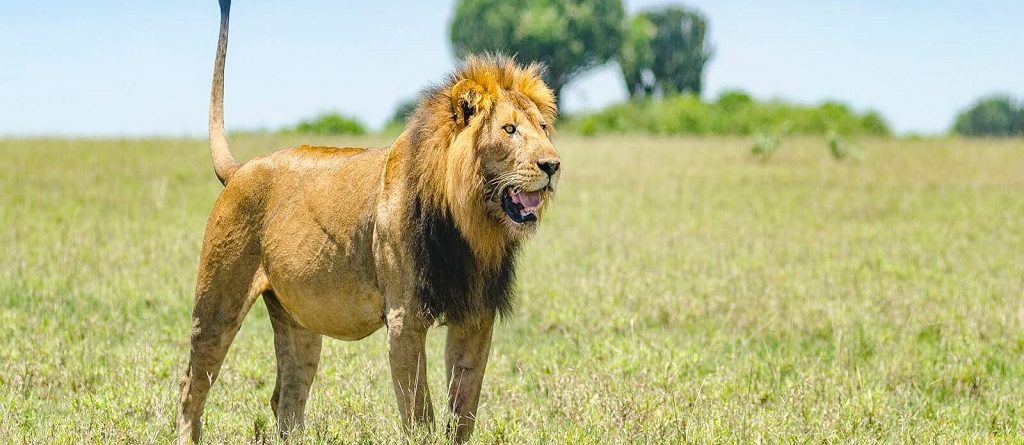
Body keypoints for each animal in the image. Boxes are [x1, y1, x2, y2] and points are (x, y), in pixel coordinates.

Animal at [174, 1, 561, 443]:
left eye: (543, 127)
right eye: (509, 129)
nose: (553, 165)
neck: (471, 225)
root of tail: (240, 169)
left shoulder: (476, 315)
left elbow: (463, 408)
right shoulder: (404, 318)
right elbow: (419, 412)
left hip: (298, 318)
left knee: (287, 397)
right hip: (217, 300)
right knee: (192, 384)